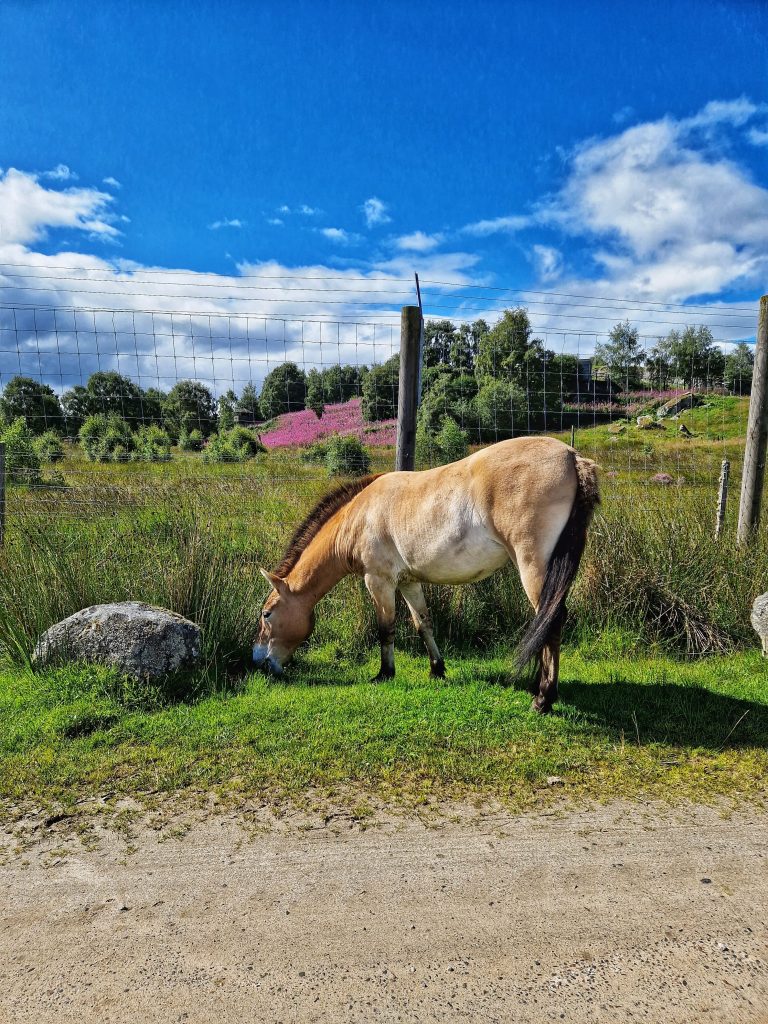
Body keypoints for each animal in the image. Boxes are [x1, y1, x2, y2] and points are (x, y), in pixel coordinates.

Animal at [256, 438, 598, 712]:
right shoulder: (409, 582)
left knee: (552, 618)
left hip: (534, 567)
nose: (259, 662)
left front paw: (384, 674)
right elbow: (423, 624)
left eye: (267, 614)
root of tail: (571, 457)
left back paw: (543, 698)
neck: (360, 514)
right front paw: (437, 669)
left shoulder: (378, 581)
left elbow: (386, 629)